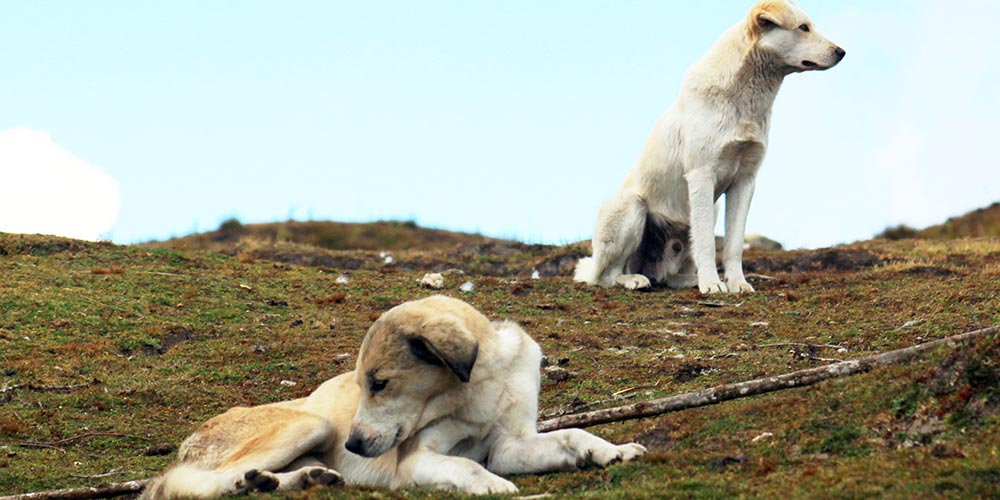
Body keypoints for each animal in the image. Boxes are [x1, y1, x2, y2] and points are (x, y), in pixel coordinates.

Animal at [141, 294, 644, 498]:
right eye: (362, 384)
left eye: (380, 383)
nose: (353, 445)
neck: (477, 390)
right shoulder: (416, 459)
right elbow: (465, 465)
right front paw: (490, 485)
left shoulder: (508, 444)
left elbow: (573, 434)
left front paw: (611, 450)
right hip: (310, 423)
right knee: (188, 484)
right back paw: (249, 483)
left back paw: (290, 481)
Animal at [572, 0, 844, 292]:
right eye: (803, 28)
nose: (841, 52)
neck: (743, 102)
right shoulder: (702, 176)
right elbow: (706, 243)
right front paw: (713, 285)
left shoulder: (745, 182)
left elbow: (733, 245)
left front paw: (737, 284)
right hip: (632, 207)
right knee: (606, 275)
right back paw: (634, 279)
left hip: (706, 213)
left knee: (666, 276)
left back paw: (687, 280)